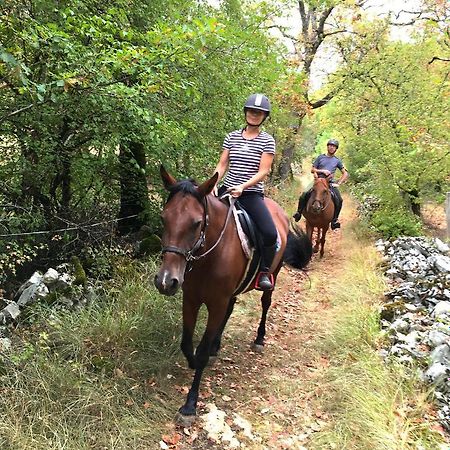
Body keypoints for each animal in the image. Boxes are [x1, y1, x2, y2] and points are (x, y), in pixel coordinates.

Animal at [153, 165, 312, 422]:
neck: (209, 255)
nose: (166, 281)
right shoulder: (191, 299)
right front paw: (194, 361)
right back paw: (218, 344)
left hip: (273, 275)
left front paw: (190, 404)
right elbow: (187, 344)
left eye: (197, 223)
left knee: (266, 303)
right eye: (163, 218)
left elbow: (202, 351)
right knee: (231, 307)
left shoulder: (216, 302)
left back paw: (259, 339)